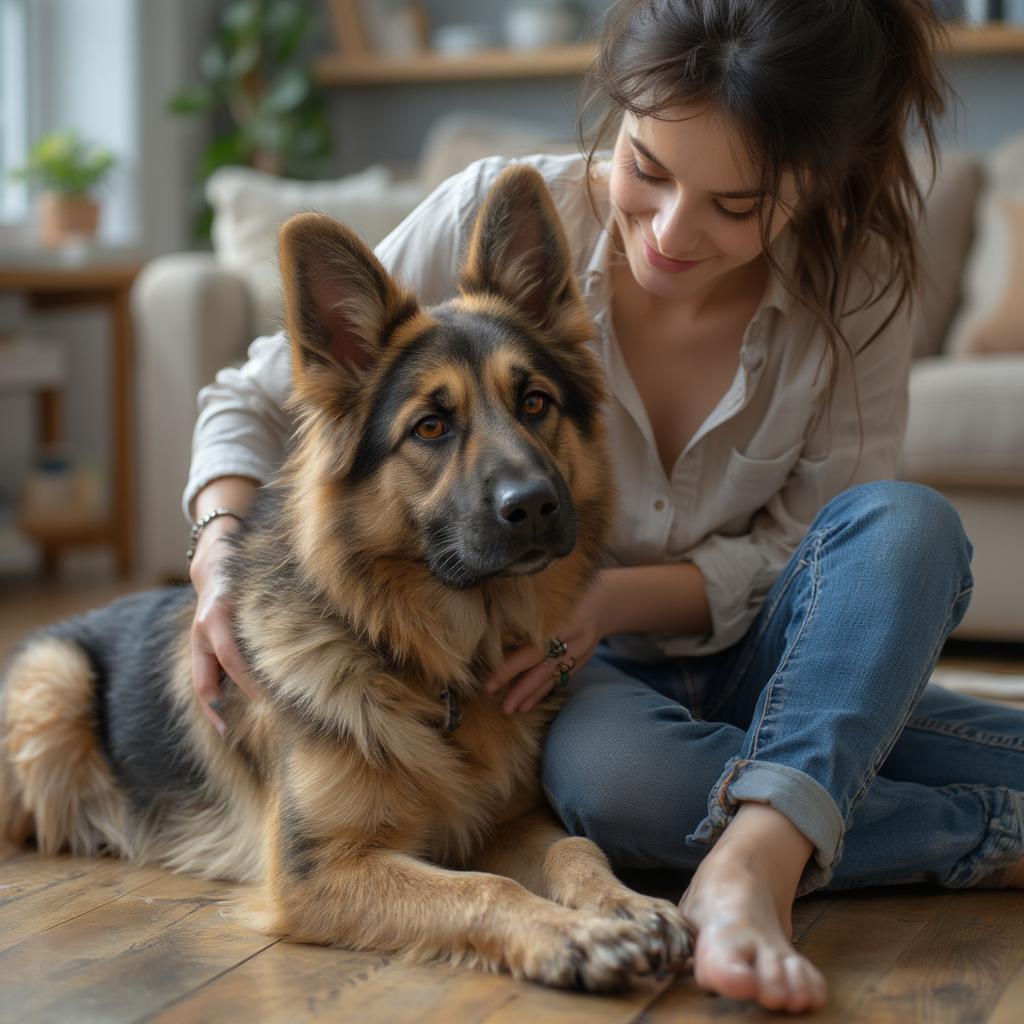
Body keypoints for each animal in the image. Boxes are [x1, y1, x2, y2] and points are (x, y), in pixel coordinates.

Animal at [2, 167, 688, 991]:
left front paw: (624, 904)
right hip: (54, 682)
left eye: (535, 403)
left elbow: (573, 847)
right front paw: (573, 936)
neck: (430, 667)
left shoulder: (507, 821)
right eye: (431, 427)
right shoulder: (321, 871)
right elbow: (484, 889)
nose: (533, 505)